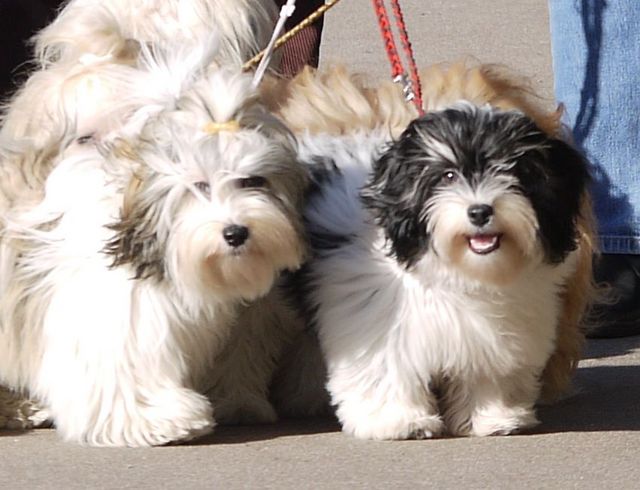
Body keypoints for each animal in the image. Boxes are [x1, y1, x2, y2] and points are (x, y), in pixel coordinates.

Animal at [0, 63, 309, 445]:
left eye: (253, 181)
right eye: (198, 186)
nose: (236, 233)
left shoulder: (244, 319)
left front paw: (237, 403)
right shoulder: (118, 316)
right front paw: (161, 420)